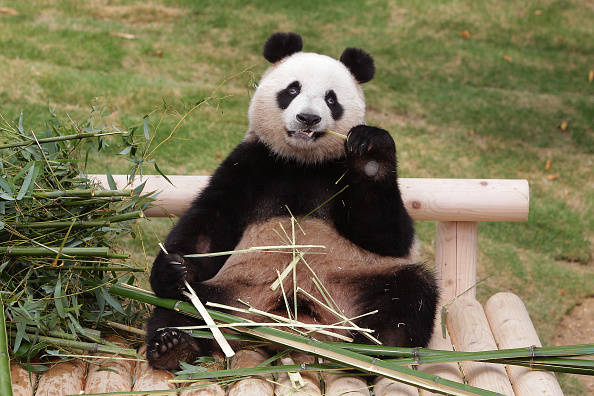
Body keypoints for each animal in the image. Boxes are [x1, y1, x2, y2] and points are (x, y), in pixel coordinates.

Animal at [146, 32, 438, 370]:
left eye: (331, 99)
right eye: (292, 89)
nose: (308, 118)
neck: (302, 163)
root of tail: (289, 328)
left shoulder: (337, 170)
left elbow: (387, 235)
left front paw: (371, 155)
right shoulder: (251, 164)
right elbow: (209, 221)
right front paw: (172, 269)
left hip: (353, 285)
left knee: (410, 293)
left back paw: (382, 350)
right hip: (235, 293)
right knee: (184, 307)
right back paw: (172, 345)